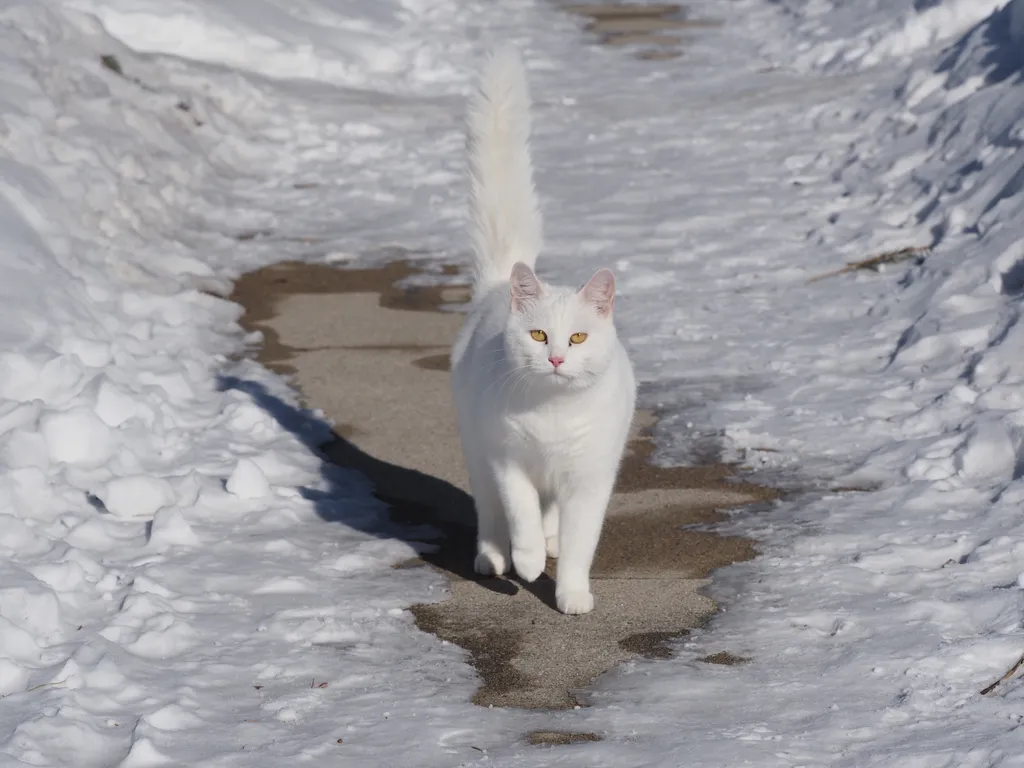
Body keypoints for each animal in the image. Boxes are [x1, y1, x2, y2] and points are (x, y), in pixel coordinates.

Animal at [452, 46, 634, 614]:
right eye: (537, 336)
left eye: (577, 338)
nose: (555, 359)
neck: (553, 414)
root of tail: (498, 282)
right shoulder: (509, 461)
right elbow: (521, 513)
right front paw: (528, 562)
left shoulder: (590, 478)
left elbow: (580, 542)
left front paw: (572, 592)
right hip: (477, 446)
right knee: (491, 513)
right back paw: (493, 558)